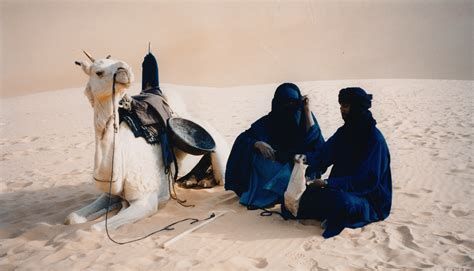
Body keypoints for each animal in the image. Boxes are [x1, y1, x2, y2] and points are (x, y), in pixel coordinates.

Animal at [64, 52, 230, 232]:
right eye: (98, 72)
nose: (125, 69)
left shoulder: (146, 201)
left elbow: (94, 228)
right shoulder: (109, 193)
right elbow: (72, 218)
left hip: (220, 152)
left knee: (221, 176)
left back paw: (204, 181)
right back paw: (193, 180)